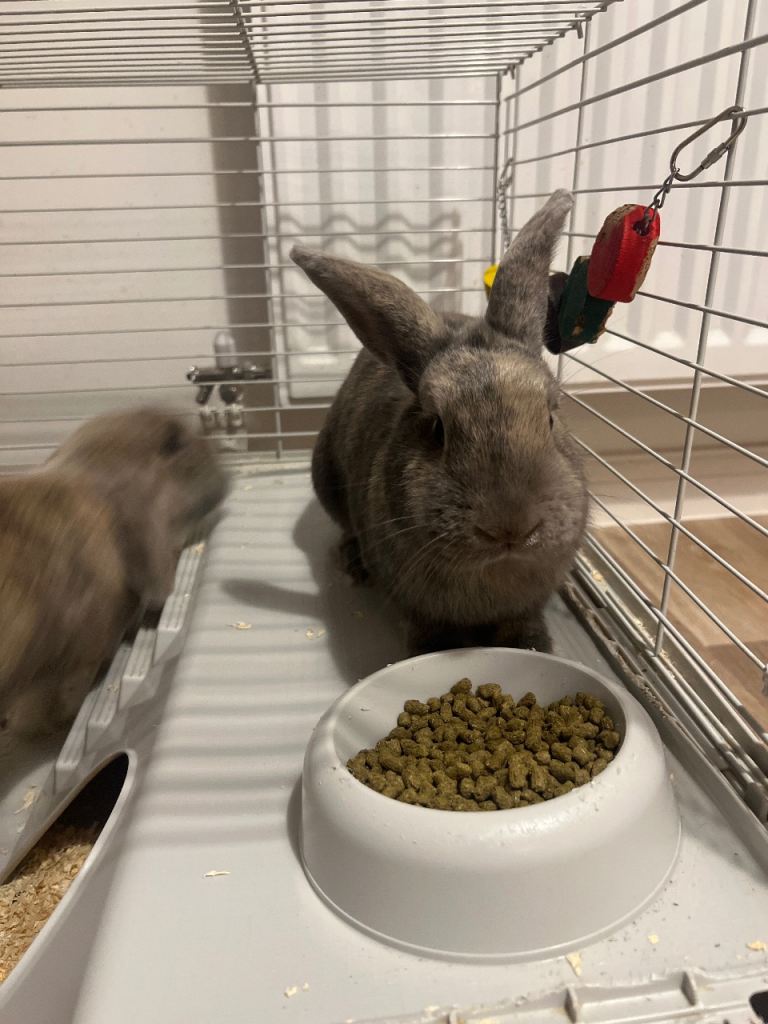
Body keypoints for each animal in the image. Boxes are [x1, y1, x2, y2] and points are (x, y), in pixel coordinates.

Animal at [291, 189, 588, 656]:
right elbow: (430, 627)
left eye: (551, 418)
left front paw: (532, 646)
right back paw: (353, 563)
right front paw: (435, 649)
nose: (511, 528)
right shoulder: (416, 603)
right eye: (437, 430)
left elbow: (522, 622)